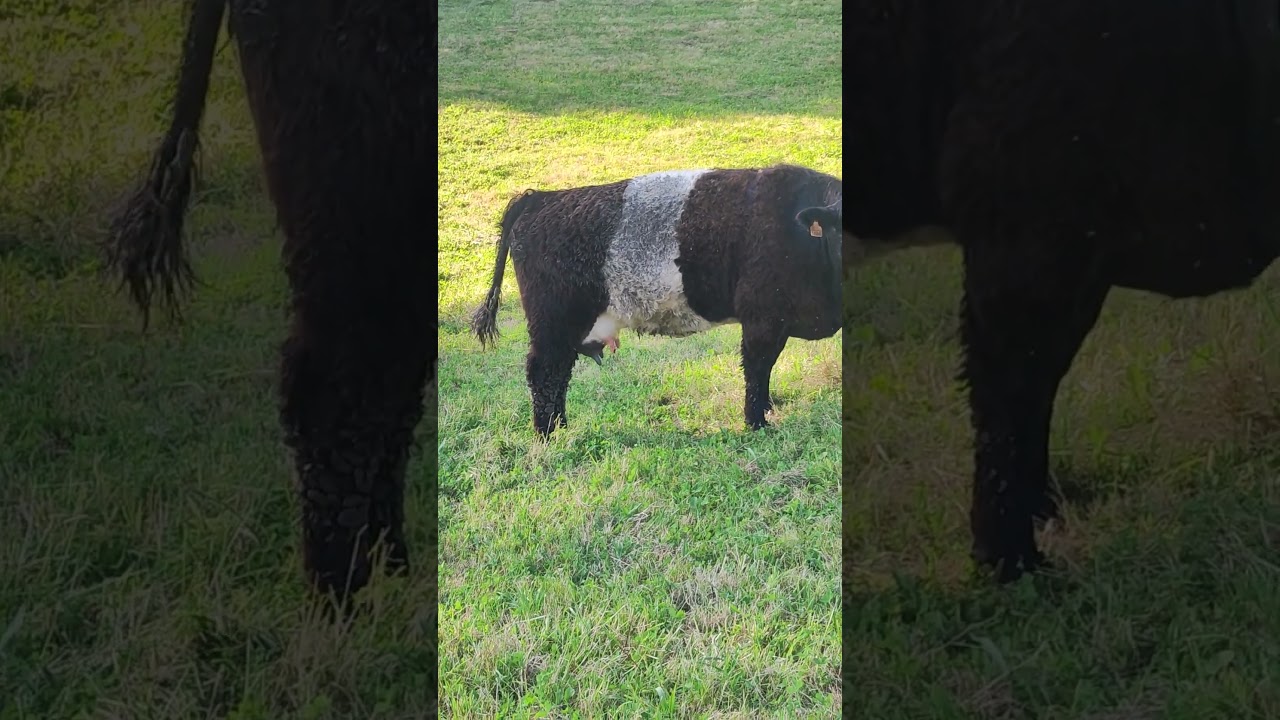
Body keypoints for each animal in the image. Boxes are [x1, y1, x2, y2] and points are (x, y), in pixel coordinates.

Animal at [470, 164, 843, 437]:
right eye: (839, 230)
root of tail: (540, 199)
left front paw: (765, 410)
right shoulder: (762, 318)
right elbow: (757, 368)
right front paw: (757, 423)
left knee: (558, 374)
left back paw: (560, 427)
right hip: (552, 322)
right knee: (544, 373)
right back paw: (548, 435)